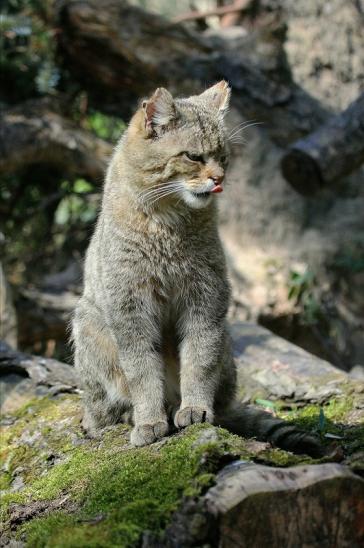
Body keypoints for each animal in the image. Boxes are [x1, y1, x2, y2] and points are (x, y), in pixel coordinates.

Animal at [73, 81, 322, 456]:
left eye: (223, 157)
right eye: (194, 157)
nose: (219, 178)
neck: (167, 225)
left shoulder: (205, 300)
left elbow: (198, 361)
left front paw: (194, 407)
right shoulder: (131, 310)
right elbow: (142, 373)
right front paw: (149, 420)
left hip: (225, 345)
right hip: (87, 324)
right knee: (102, 404)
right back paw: (117, 418)